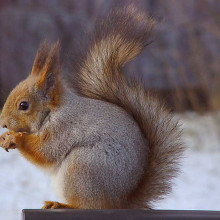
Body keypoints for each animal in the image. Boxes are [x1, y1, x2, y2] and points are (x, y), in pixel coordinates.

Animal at [0, 5, 183, 210]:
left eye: (24, 105)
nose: (3, 124)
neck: (52, 111)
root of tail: (120, 202)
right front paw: (5, 137)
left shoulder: (63, 127)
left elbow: (46, 151)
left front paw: (16, 138)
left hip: (83, 167)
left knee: (87, 205)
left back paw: (62, 205)